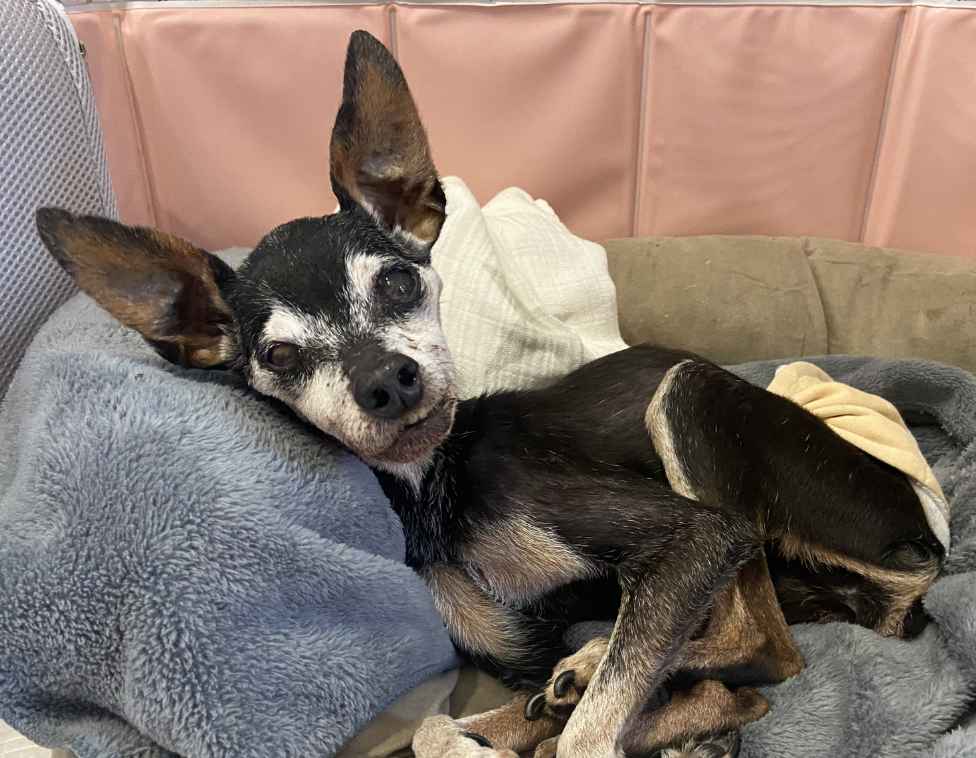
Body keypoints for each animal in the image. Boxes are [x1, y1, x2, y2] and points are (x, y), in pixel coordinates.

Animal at [35, 31, 944, 758]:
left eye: (398, 282)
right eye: (280, 355)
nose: (386, 380)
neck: (439, 490)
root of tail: (924, 532)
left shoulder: (697, 538)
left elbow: (589, 732)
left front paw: (610, 705)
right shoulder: (518, 646)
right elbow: (475, 721)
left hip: (692, 408)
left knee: (768, 648)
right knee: (742, 666)